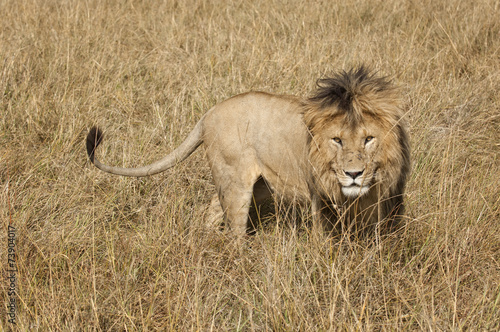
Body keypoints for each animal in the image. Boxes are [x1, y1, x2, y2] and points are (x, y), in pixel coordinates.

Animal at [88, 66, 410, 236]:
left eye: (369, 139)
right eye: (337, 140)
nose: (354, 174)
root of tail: (210, 112)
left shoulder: (384, 202)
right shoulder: (321, 200)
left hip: (261, 184)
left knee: (213, 207)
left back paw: (206, 238)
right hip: (236, 182)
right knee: (234, 229)